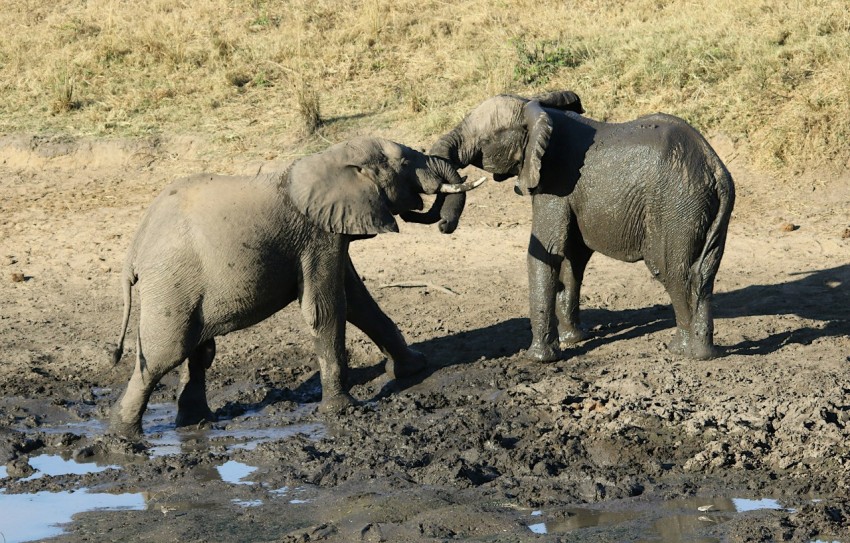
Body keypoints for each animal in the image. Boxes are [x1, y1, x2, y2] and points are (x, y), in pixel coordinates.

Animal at [111, 137, 484, 438]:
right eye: (405, 163)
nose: (442, 222)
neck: (330, 158)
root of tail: (133, 251)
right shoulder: (317, 237)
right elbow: (327, 309)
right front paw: (344, 411)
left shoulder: (332, 230)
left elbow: (361, 303)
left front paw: (415, 368)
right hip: (171, 282)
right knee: (162, 356)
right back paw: (125, 436)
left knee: (199, 351)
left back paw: (196, 423)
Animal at [428, 91, 732, 364]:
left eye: (484, 141)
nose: (444, 225)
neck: (534, 107)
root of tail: (715, 169)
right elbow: (573, 258)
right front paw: (572, 340)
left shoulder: (555, 182)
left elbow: (546, 253)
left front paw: (539, 359)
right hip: (704, 210)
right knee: (703, 274)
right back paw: (701, 353)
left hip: (675, 204)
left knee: (672, 272)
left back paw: (683, 352)